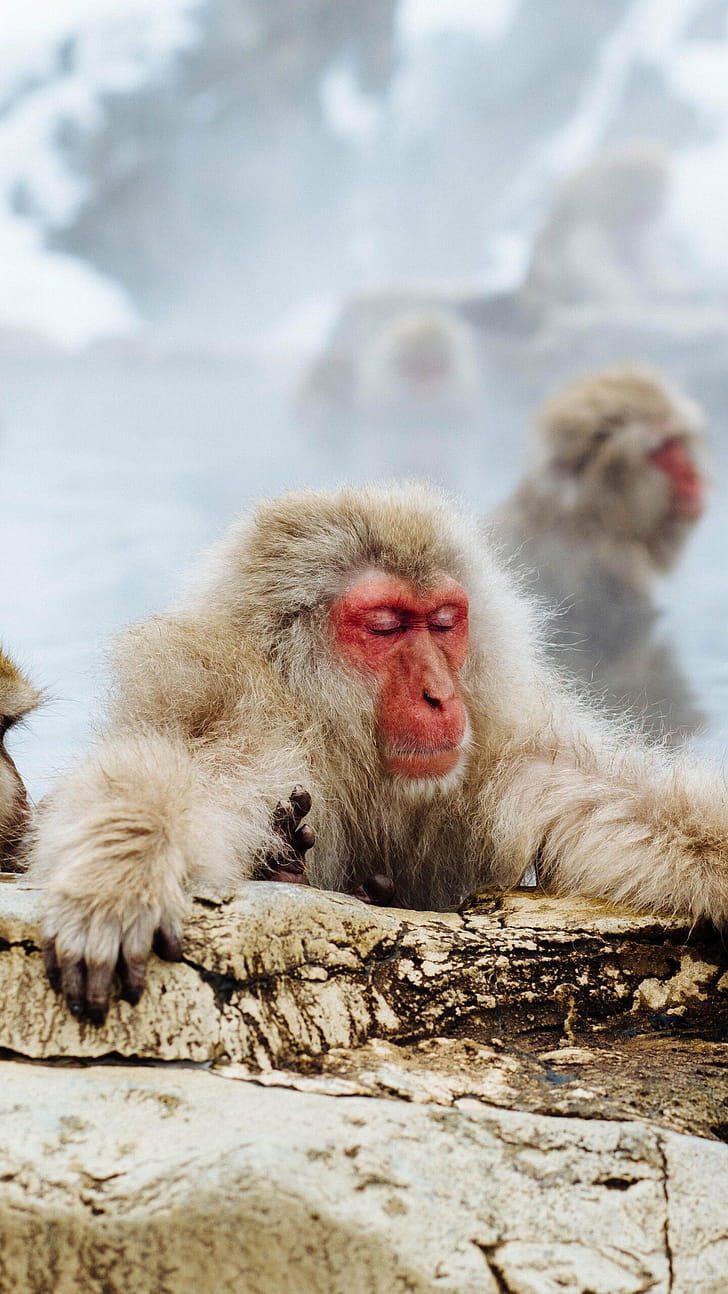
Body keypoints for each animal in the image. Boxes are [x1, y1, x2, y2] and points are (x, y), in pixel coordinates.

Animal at [30, 482, 728, 1025]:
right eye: (387, 626)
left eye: (444, 621)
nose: (439, 695)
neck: (338, 737)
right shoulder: (232, 707)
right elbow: (186, 770)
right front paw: (121, 874)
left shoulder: (503, 746)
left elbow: (617, 805)